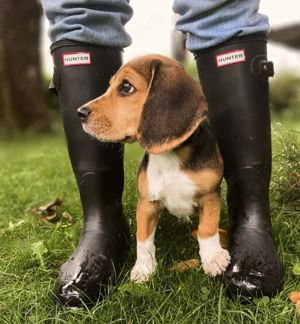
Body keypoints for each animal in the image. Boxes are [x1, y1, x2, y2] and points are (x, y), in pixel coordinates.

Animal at [77, 54, 230, 282]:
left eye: (126, 87)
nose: (80, 112)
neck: (169, 154)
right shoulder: (146, 203)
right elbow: (143, 239)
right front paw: (143, 269)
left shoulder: (211, 195)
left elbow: (207, 229)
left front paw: (213, 258)